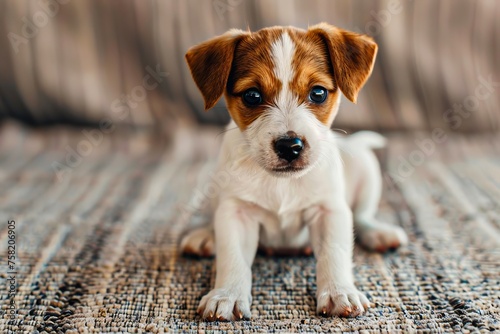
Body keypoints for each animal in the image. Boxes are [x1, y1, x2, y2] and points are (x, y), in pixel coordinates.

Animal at [182, 22, 408, 320]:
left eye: (318, 93)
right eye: (252, 96)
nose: (290, 146)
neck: (282, 183)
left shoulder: (329, 210)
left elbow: (334, 253)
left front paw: (338, 292)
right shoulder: (236, 212)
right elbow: (232, 256)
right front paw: (227, 295)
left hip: (365, 166)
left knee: (361, 216)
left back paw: (379, 233)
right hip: (209, 179)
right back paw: (205, 236)